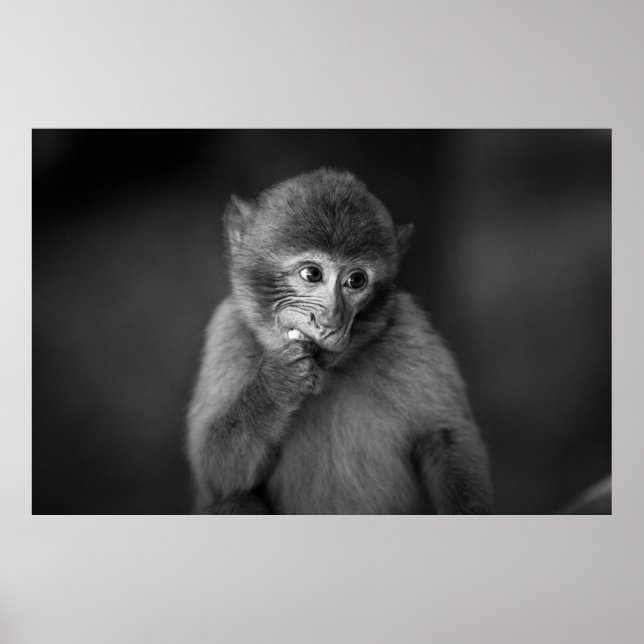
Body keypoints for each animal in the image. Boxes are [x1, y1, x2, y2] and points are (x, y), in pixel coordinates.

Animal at [186, 168, 492, 514]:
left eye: (356, 280)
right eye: (312, 274)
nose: (331, 320)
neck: (329, 374)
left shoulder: (410, 330)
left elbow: (445, 438)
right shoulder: (228, 332)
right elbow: (217, 477)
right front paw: (277, 384)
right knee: (236, 502)